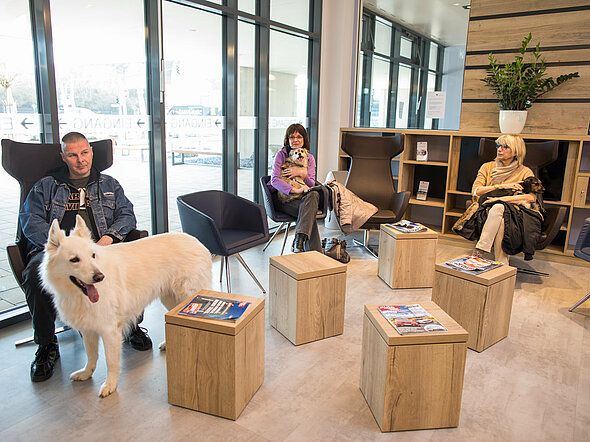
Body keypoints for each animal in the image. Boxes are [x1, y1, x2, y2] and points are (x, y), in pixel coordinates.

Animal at [39, 216, 212, 398]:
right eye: (74, 259)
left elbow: (111, 361)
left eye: (92, 256)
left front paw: (110, 385)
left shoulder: (109, 331)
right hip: (172, 300)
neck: (78, 294)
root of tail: (198, 242)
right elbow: (91, 355)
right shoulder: (88, 329)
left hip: (187, 297)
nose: (99, 277)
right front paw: (86, 373)